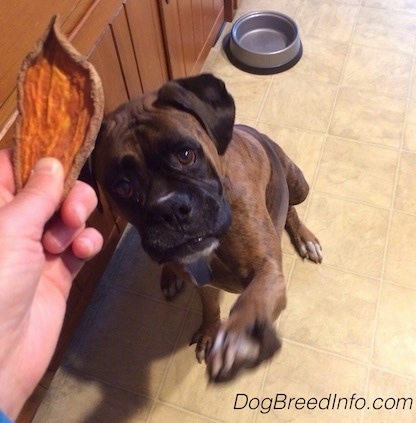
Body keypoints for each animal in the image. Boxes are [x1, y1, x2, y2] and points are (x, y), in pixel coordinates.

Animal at [93, 73, 322, 384]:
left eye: (186, 154)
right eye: (123, 187)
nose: (170, 209)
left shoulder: (266, 271)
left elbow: (251, 302)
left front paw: (237, 340)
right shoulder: (203, 282)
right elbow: (210, 306)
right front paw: (210, 331)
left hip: (298, 184)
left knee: (291, 208)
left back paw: (305, 238)